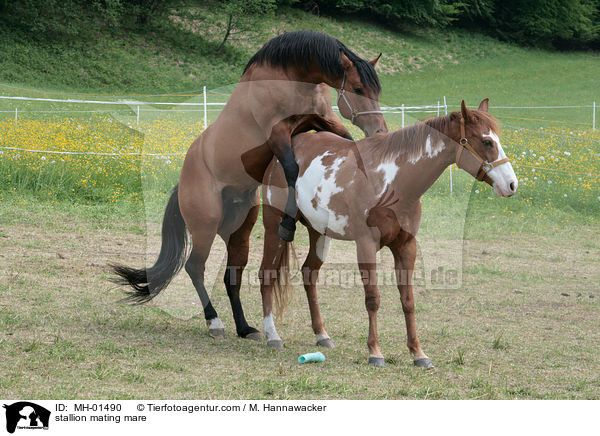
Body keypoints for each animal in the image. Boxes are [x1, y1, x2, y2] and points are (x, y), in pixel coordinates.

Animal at [110, 30, 386, 340]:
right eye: (358, 88)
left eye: (377, 90)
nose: (379, 130)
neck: (290, 77)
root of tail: (182, 184)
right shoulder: (278, 134)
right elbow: (291, 169)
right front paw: (288, 223)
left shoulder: (323, 120)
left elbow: (347, 141)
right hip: (205, 227)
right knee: (195, 267)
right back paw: (215, 322)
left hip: (238, 233)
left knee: (233, 277)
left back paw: (244, 327)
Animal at [260, 99, 516, 368]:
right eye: (487, 142)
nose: (511, 184)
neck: (392, 182)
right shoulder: (366, 245)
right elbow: (373, 299)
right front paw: (375, 352)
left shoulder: (406, 246)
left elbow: (408, 301)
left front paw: (418, 353)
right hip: (274, 228)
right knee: (266, 275)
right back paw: (272, 336)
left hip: (319, 234)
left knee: (309, 275)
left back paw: (322, 335)